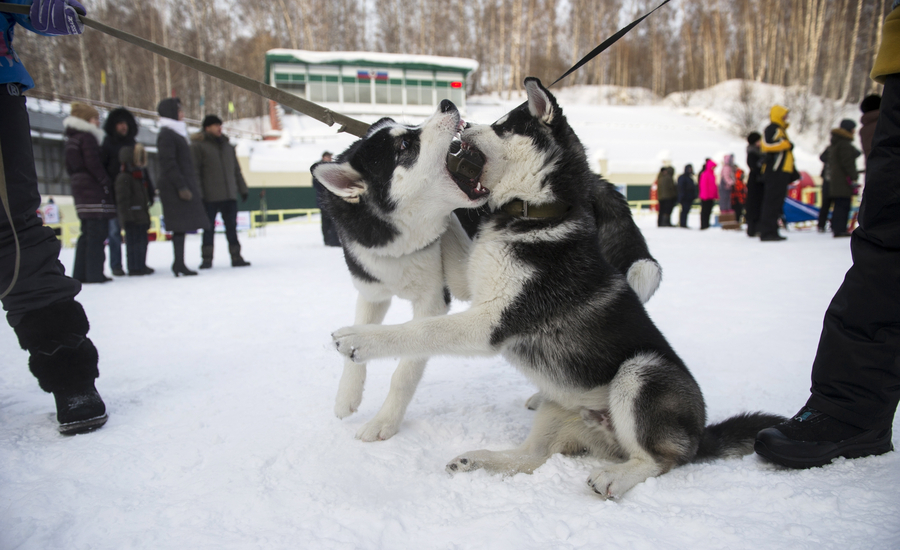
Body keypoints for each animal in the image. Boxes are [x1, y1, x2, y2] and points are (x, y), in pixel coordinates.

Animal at [334, 78, 784, 500]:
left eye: (502, 127)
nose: (460, 121)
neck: (534, 215)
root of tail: (701, 431)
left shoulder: (490, 322)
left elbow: (420, 330)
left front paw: (360, 340)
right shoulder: (469, 279)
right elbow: (448, 239)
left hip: (640, 372)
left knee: (659, 460)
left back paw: (616, 477)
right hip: (559, 403)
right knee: (532, 458)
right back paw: (478, 459)